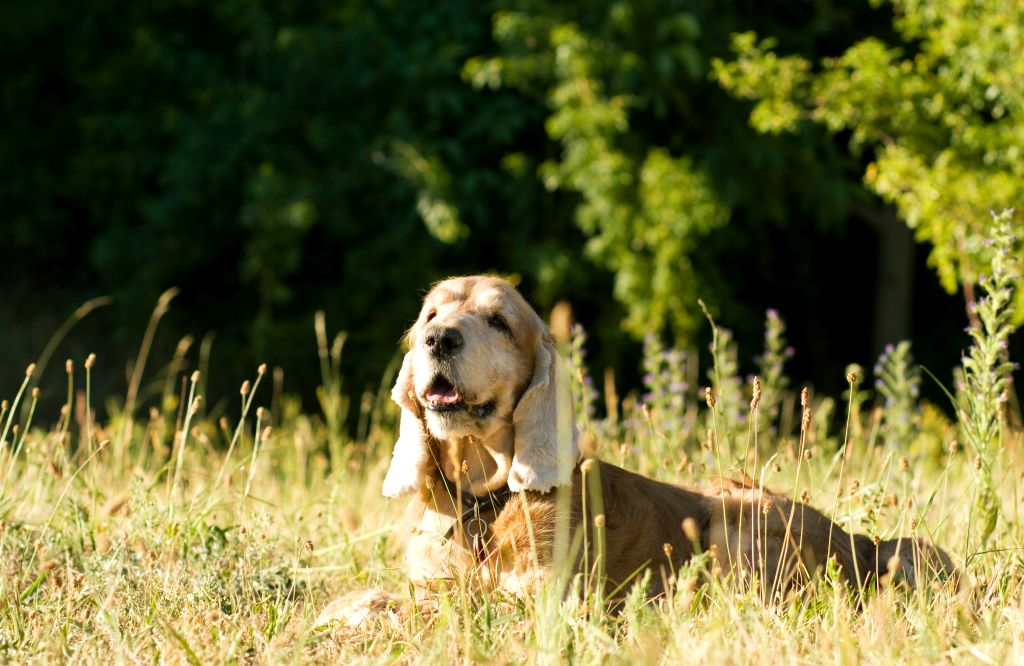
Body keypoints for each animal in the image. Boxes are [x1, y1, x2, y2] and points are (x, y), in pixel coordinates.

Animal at [366, 274, 950, 606]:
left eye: (498, 321)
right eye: (430, 315)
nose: (438, 338)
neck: (483, 501)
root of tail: (866, 545)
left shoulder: (544, 598)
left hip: (730, 520)